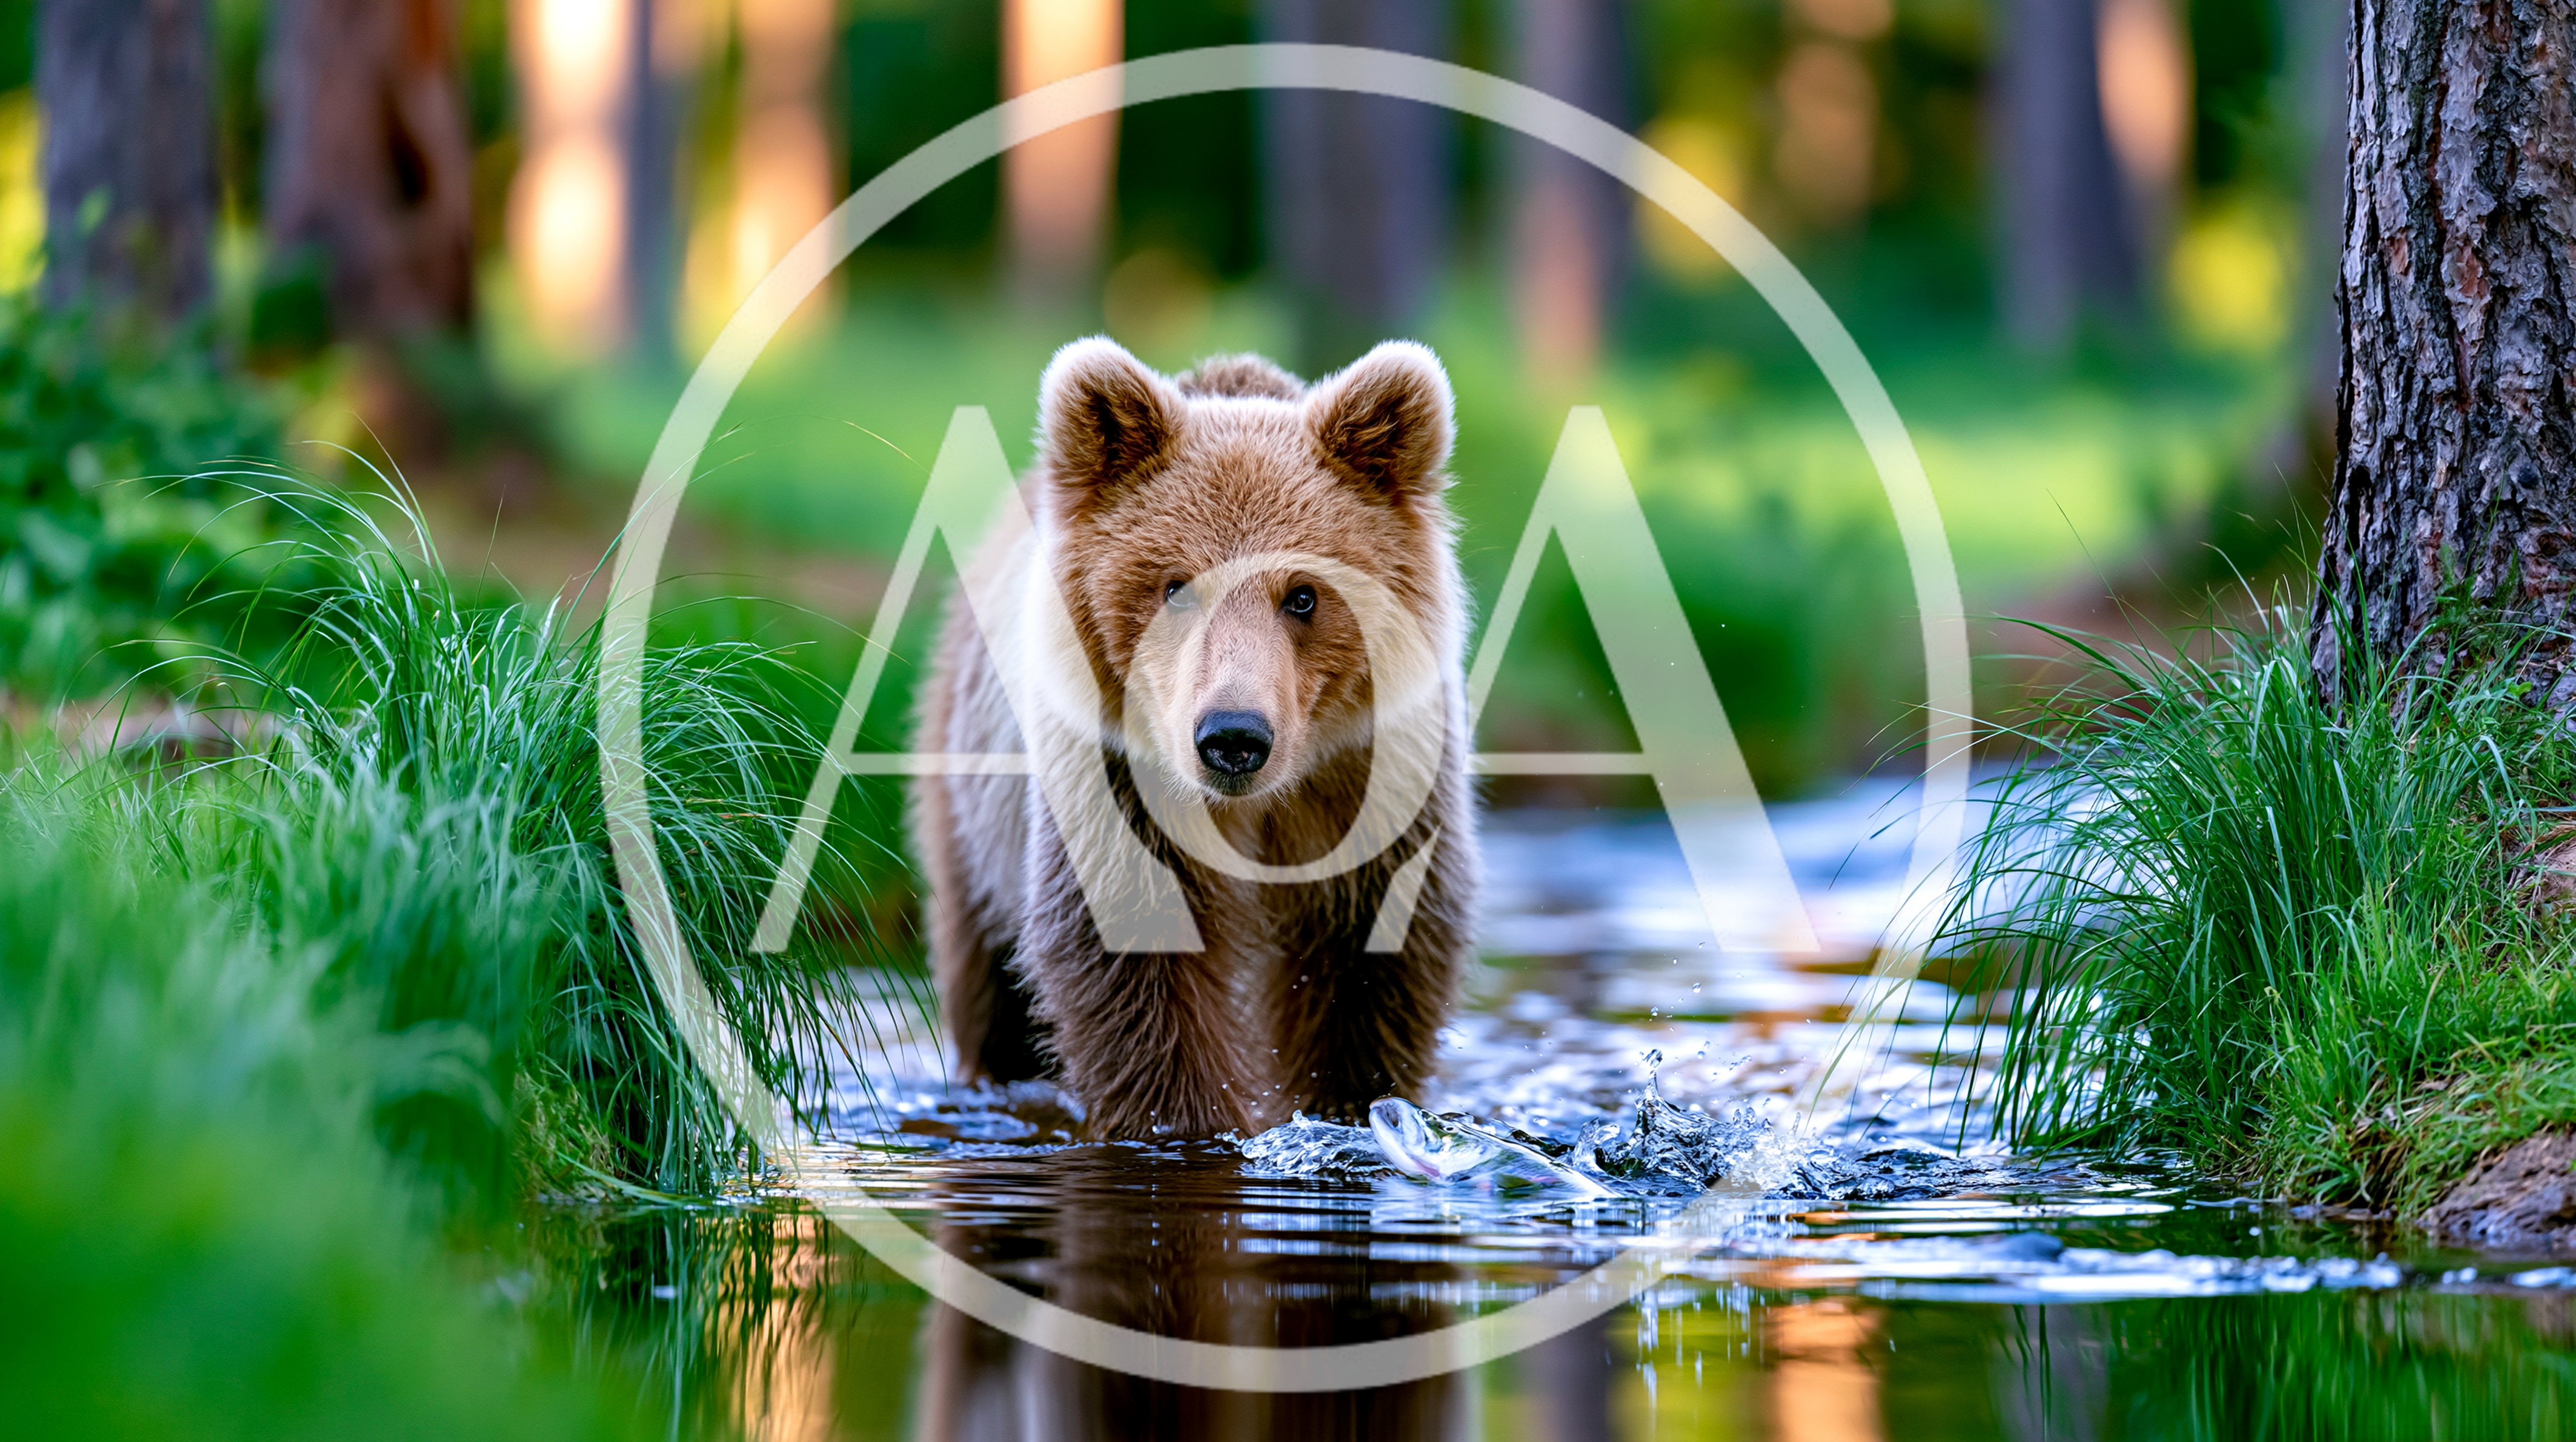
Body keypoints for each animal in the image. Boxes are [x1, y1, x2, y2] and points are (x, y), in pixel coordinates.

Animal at [910, 336, 1480, 1138]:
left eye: (1302, 595)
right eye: (1175, 586)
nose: (1233, 736)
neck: (1261, 804)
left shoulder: (1367, 783)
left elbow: (1373, 962)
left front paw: (1345, 1106)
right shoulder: (1124, 783)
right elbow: (1135, 961)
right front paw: (1188, 1122)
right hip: (973, 798)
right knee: (990, 981)